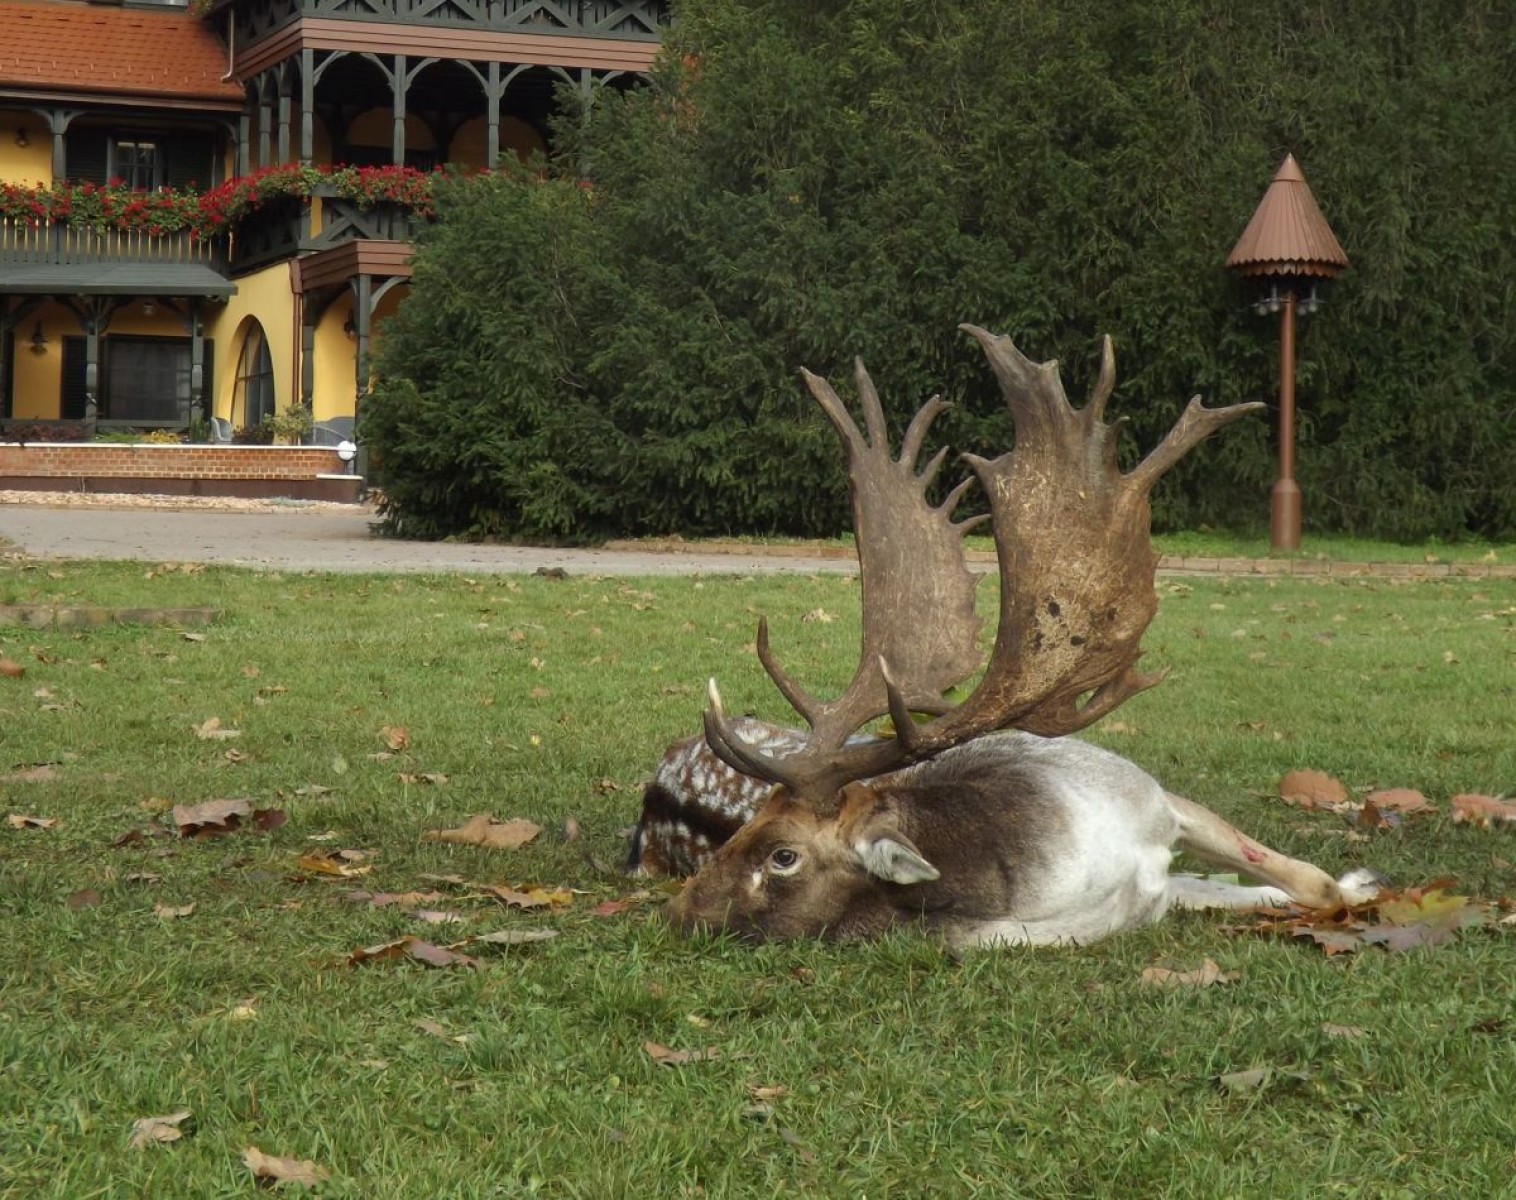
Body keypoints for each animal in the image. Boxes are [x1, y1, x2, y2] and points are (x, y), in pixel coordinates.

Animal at [633, 328, 1382, 945]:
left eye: (782, 853)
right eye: (744, 829)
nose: (676, 912)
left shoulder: (1149, 791)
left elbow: (1304, 881)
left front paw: (1355, 881)